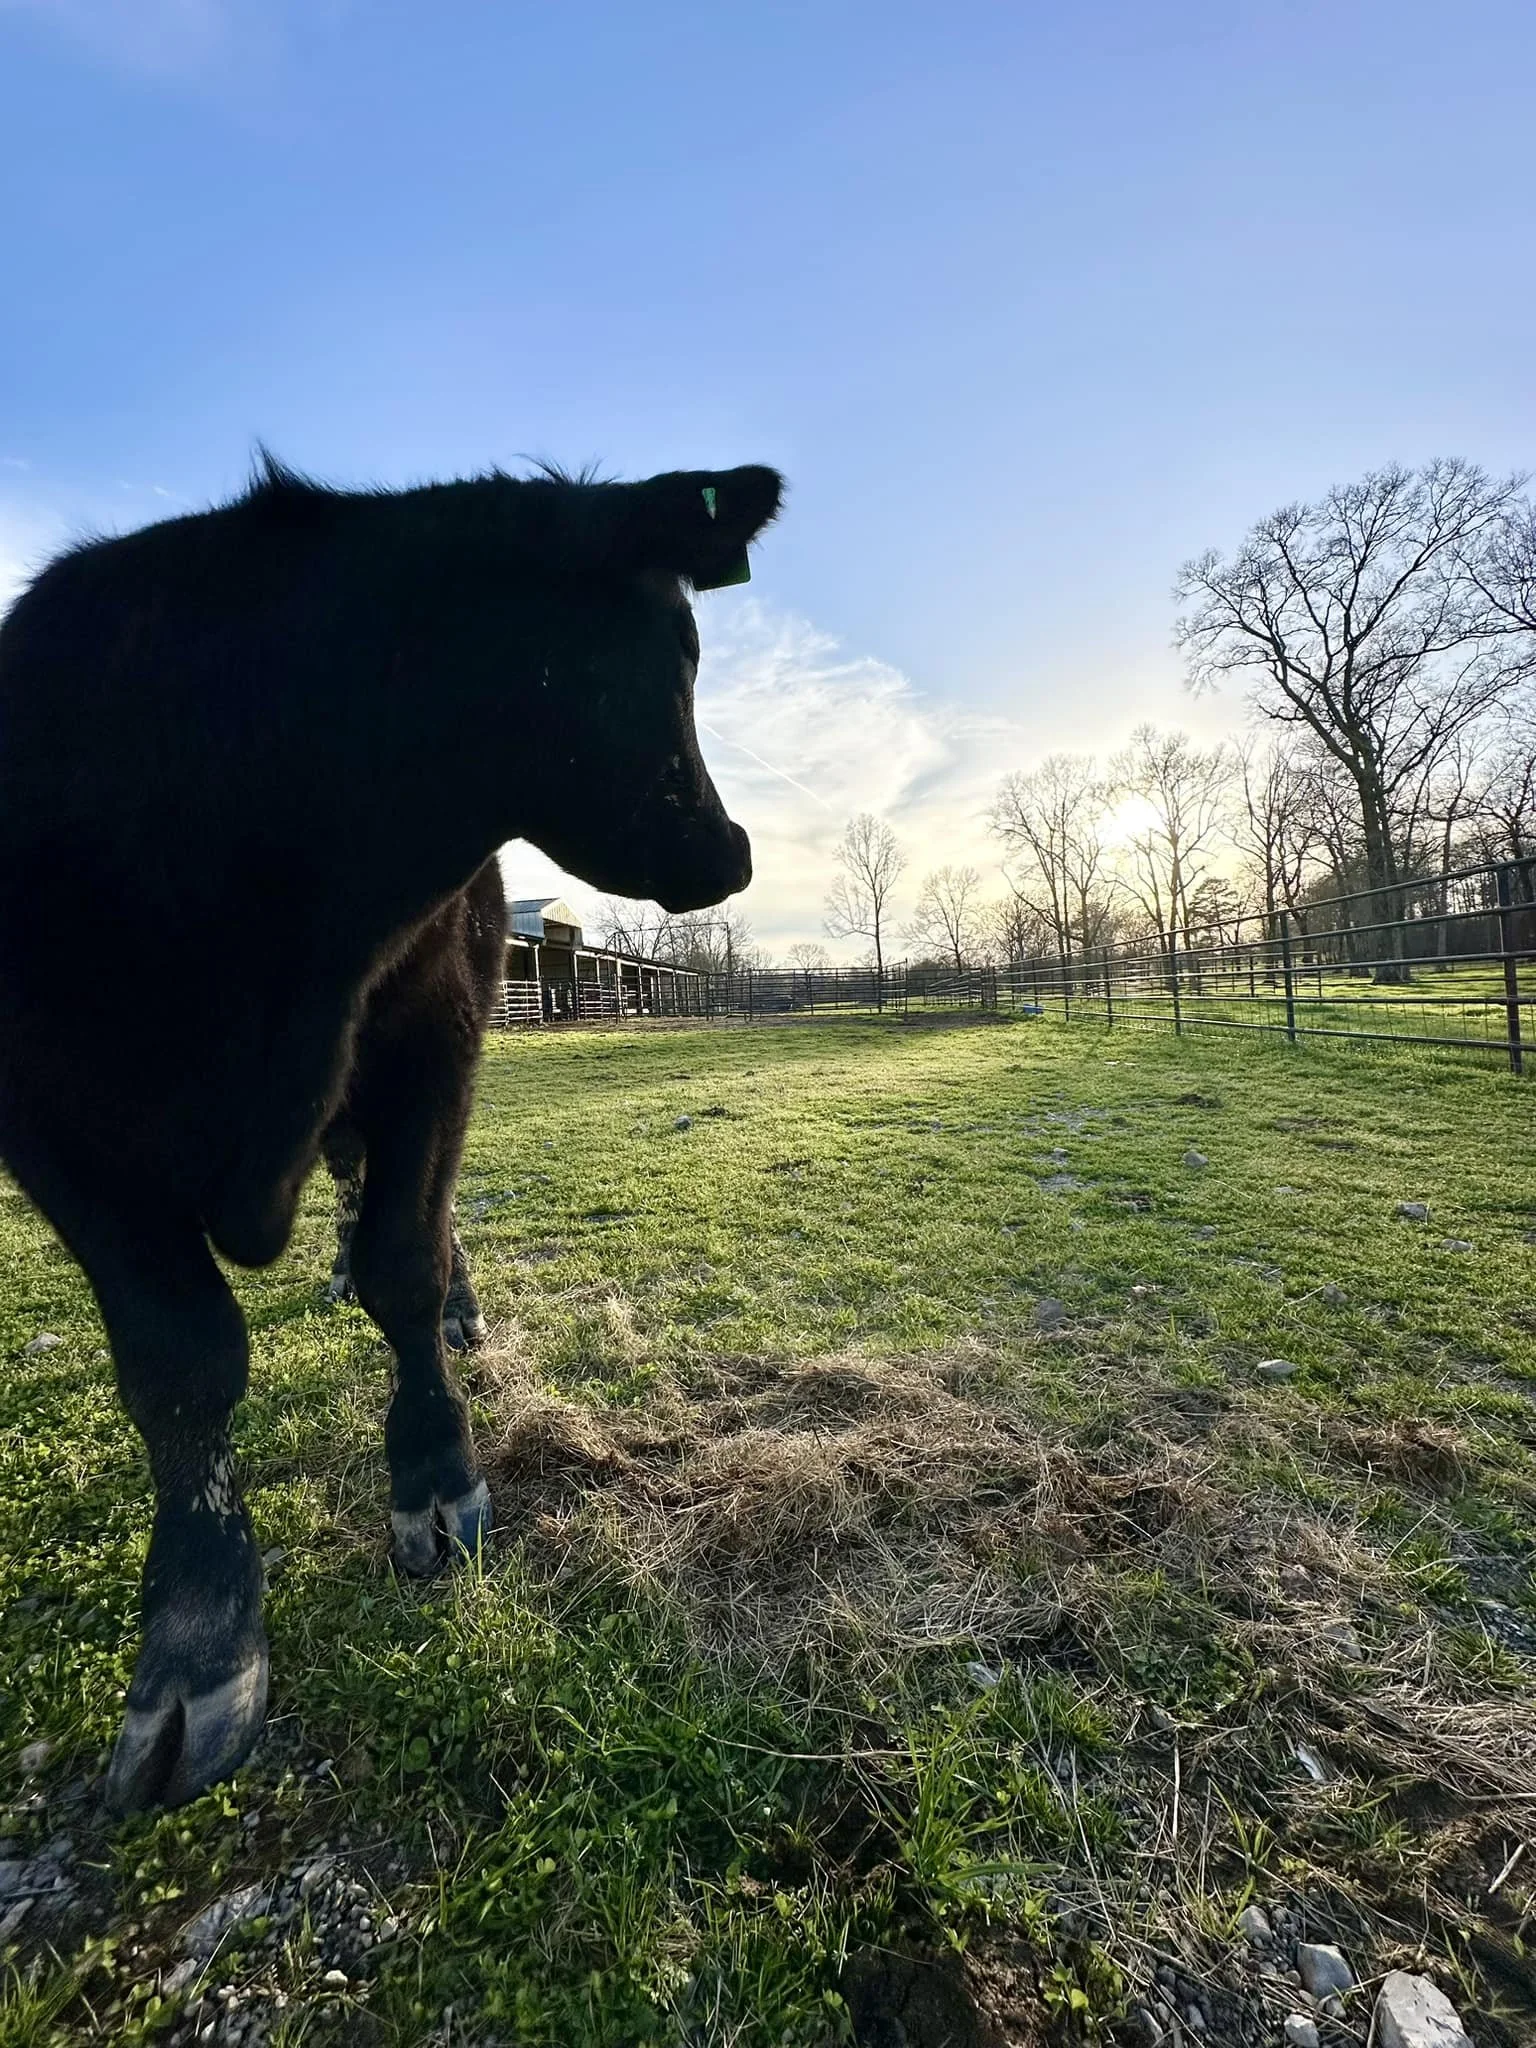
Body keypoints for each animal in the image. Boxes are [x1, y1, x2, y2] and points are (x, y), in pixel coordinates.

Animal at [0, 452, 779, 1811]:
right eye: (677, 652)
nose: (728, 850)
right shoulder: (49, 1114)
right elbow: (179, 1361)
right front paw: (199, 1637)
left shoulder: (437, 1024)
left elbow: (405, 1264)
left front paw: (435, 1475)